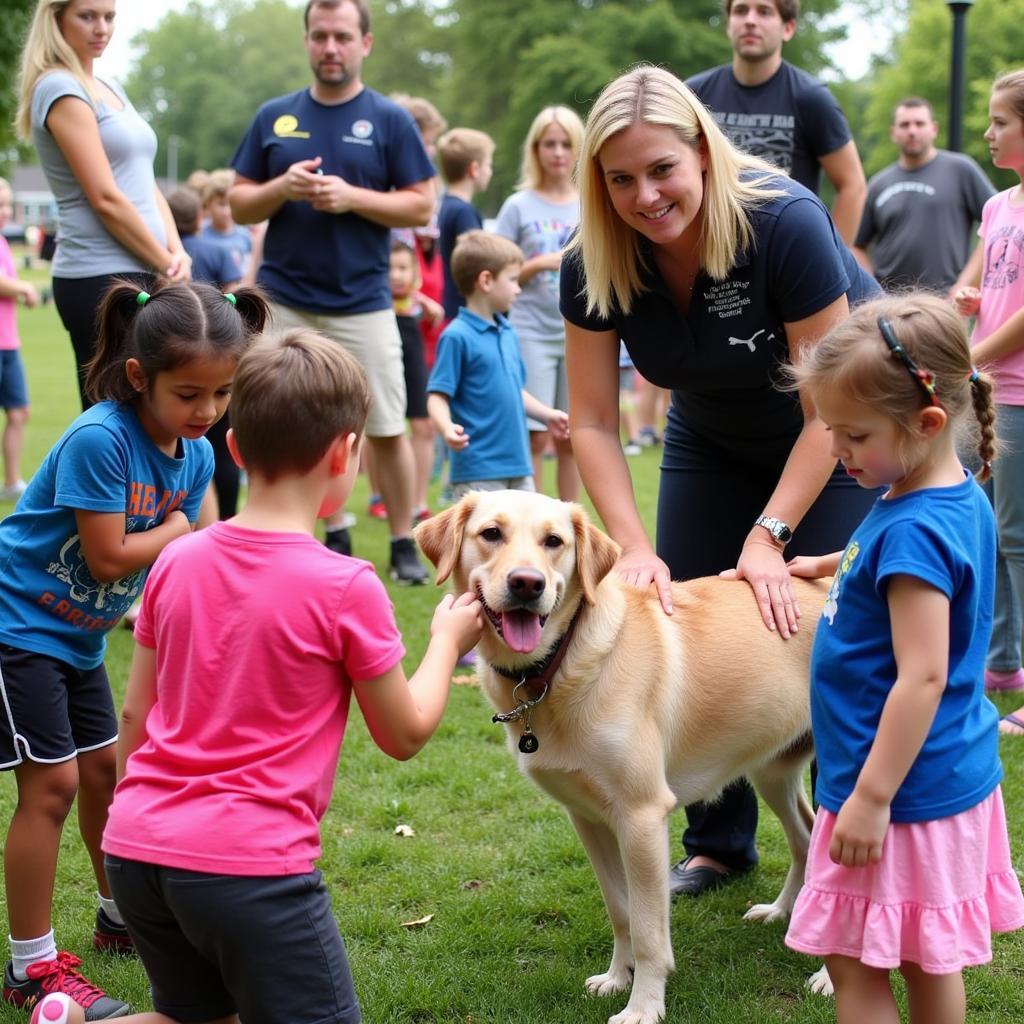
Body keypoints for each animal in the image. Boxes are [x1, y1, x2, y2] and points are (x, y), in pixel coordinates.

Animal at [413, 491, 823, 1019]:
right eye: (491, 534)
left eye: (553, 541)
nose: (527, 583)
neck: (556, 666)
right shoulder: (588, 819)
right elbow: (620, 911)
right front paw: (616, 979)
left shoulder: (642, 817)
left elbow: (649, 931)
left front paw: (644, 1006)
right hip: (772, 771)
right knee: (806, 839)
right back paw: (780, 912)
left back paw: (828, 975)